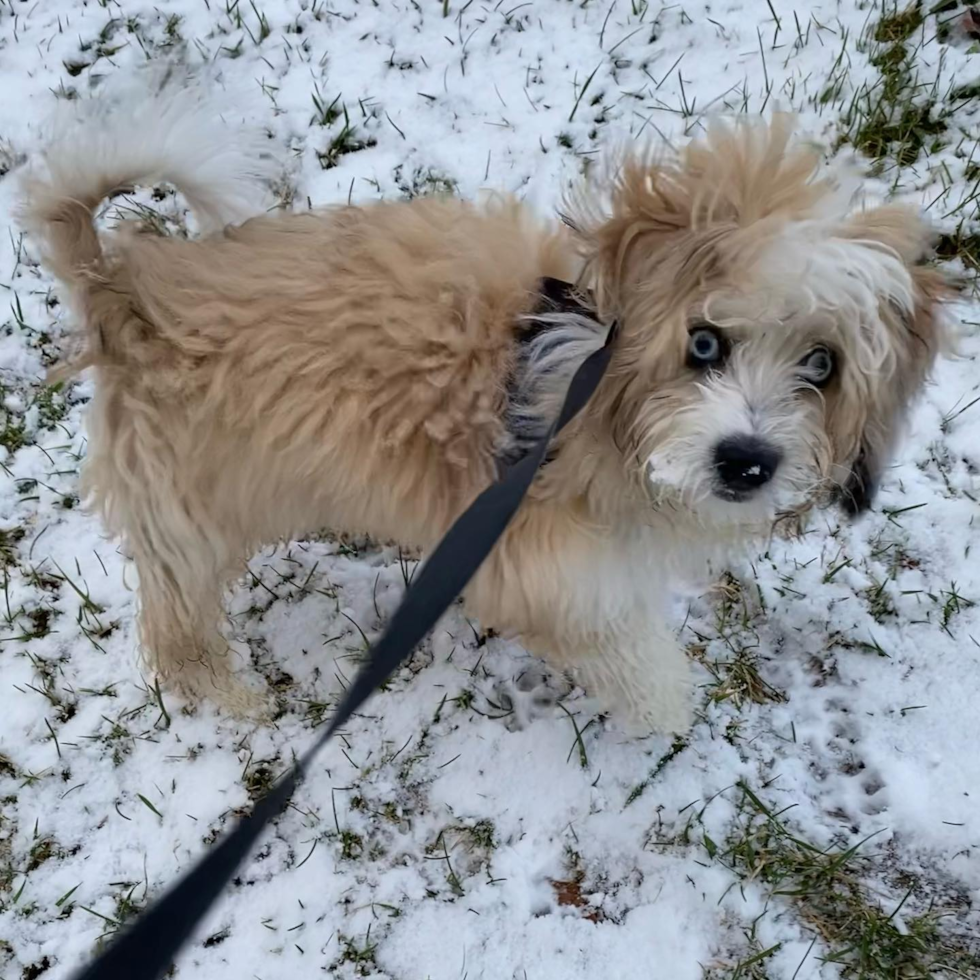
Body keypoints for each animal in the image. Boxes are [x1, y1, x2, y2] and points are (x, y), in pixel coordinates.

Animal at [17, 86, 948, 736]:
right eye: (705, 342)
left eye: (822, 366)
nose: (747, 463)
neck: (584, 385)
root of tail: (123, 288)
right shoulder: (552, 564)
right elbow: (621, 647)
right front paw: (667, 708)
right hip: (191, 508)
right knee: (175, 625)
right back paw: (230, 695)